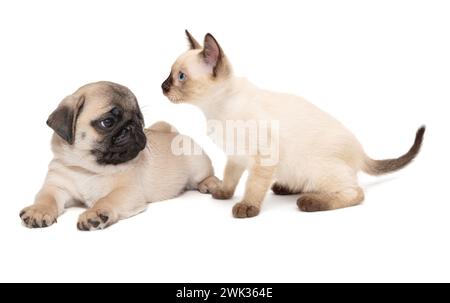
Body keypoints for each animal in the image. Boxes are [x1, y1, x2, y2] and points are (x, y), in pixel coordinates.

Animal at [19, 82, 220, 232]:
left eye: (140, 119)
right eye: (108, 122)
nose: (133, 126)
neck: (88, 168)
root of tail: (173, 134)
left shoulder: (126, 191)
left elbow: (106, 199)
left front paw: (95, 214)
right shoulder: (56, 187)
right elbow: (46, 198)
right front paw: (38, 211)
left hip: (197, 164)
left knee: (206, 174)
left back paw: (210, 183)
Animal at [162, 30, 426, 220]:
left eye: (181, 77)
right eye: (170, 74)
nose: (162, 86)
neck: (214, 110)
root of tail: (361, 153)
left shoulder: (263, 156)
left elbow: (253, 185)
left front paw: (246, 206)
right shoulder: (236, 155)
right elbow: (230, 177)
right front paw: (224, 194)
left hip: (318, 168)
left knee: (355, 192)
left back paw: (310, 201)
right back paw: (285, 187)